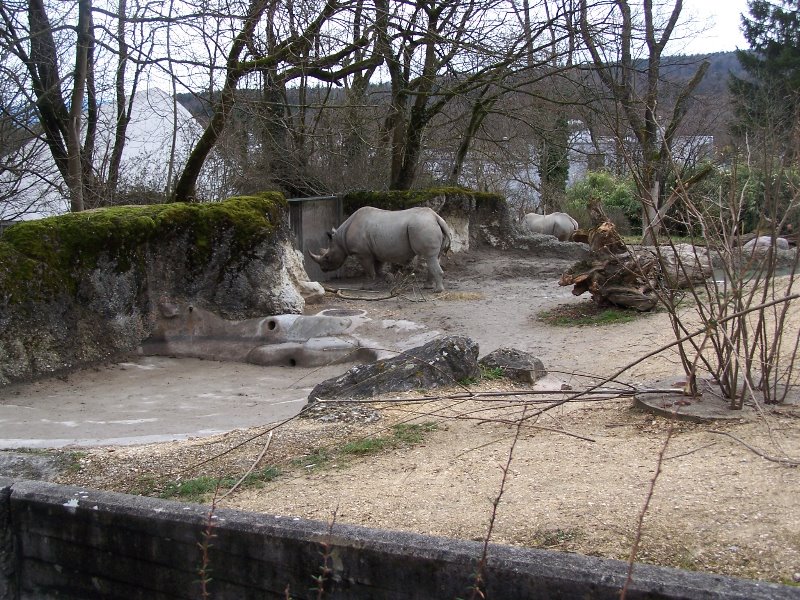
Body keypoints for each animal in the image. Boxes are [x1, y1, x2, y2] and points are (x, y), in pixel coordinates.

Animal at [309, 206, 452, 292]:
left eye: (327, 257)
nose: (323, 269)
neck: (340, 238)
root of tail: (437, 218)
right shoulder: (378, 250)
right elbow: (378, 268)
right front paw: (388, 279)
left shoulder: (362, 253)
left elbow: (369, 270)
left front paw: (366, 287)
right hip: (428, 225)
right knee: (434, 257)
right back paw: (428, 287)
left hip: (423, 226)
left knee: (429, 256)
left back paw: (437, 291)